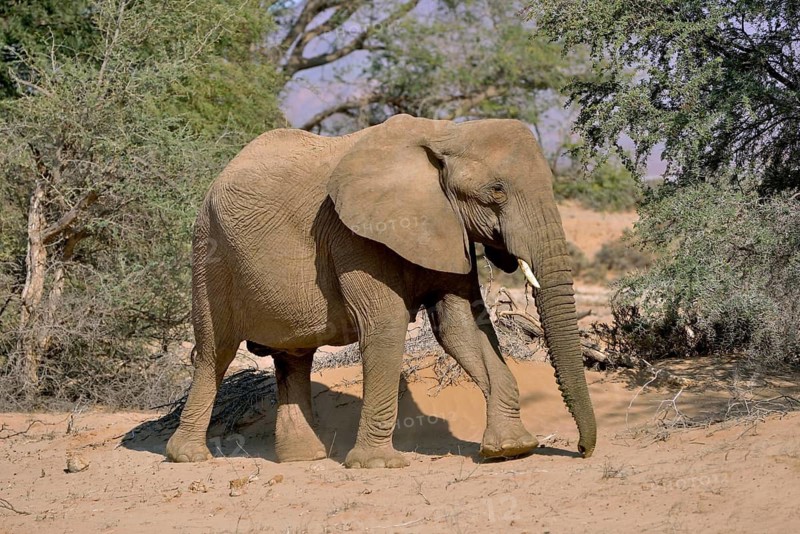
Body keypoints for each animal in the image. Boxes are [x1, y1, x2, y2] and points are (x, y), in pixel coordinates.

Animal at [165, 114, 596, 468]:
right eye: (497, 190)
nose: (582, 449)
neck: (445, 133)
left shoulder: (449, 228)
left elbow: (460, 326)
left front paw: (509, 449)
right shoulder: (353, 235)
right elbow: (386, 324)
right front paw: (378, 464)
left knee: (293, 357)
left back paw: (303, 459)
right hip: (209, 253)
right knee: (215, 352)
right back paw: (188, 456)